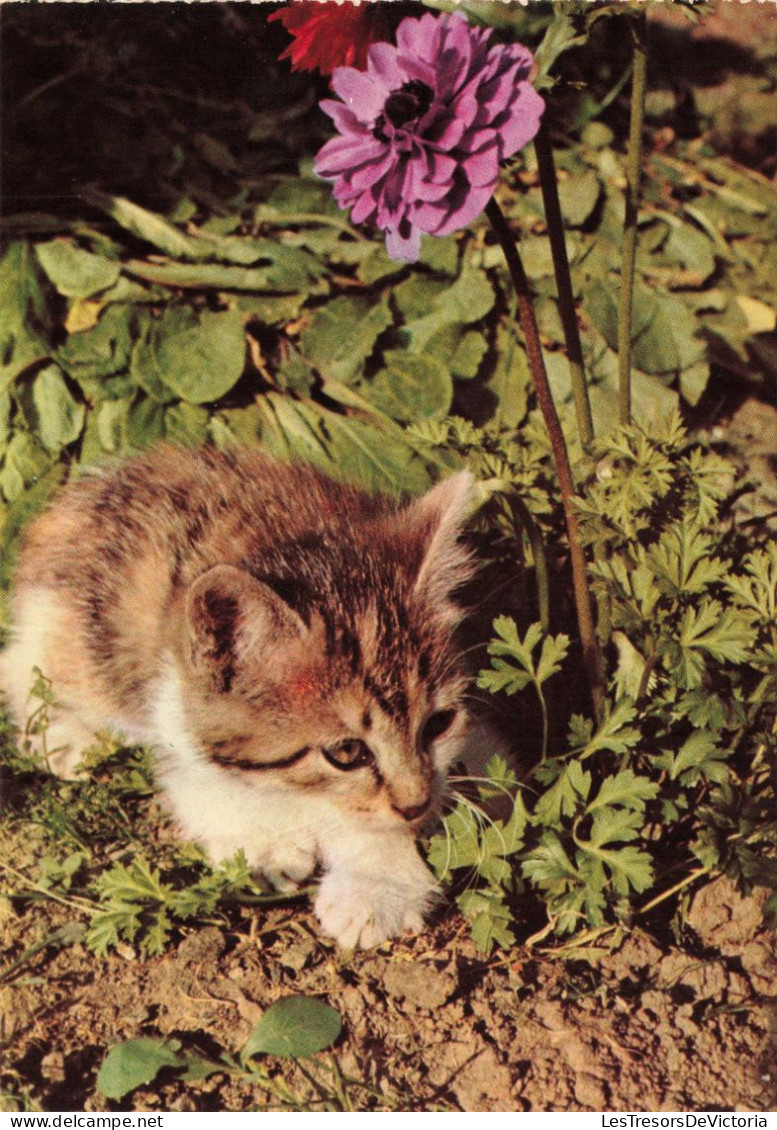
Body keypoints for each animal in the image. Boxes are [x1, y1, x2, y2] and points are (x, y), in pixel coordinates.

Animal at [0, 445, 476, 949]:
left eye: (439, 724)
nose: (416, 802)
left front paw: (376, 885)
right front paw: (269, 841)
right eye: (347, 752)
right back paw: (65, 735)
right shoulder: (174, 706)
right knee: (22, 661)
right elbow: (203, 781)